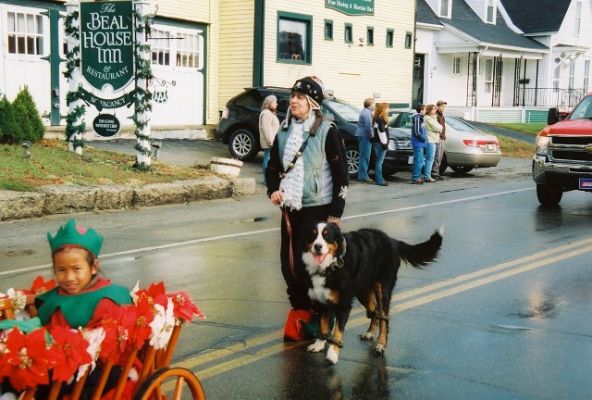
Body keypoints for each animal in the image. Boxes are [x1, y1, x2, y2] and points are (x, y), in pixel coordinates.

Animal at [302, 222, 442, 366]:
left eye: (327, 236)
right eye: (313, 234)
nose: (317, 246)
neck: (330, 266)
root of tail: (393, 241)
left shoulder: (343, 304)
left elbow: (337, 332)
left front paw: (332, 354)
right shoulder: (321, 300)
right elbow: (323, 325)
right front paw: (319, 344)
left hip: (383, 290)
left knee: (384, 318)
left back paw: (381, 345)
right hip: (363, 290)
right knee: (374, 311)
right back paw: (369, 333)